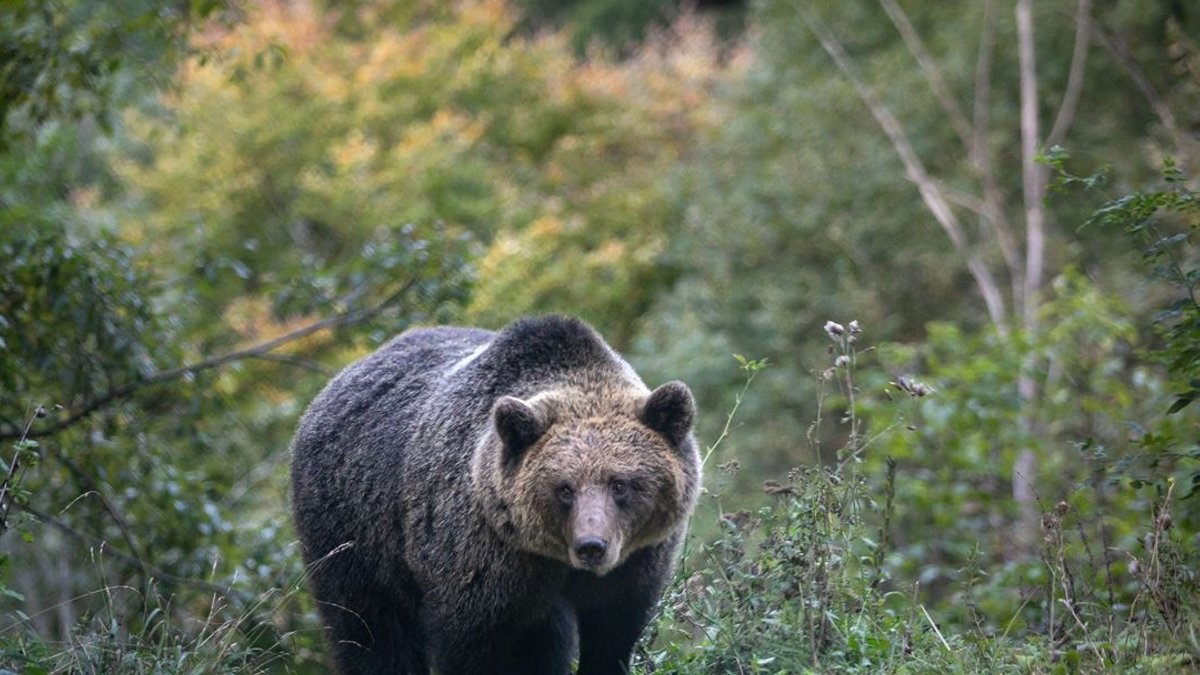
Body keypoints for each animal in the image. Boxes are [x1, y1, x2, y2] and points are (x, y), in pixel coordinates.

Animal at [290, 315, 700, 675]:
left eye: (620, 483)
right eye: (564, 488)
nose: (591, 546)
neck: (550, 556)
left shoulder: (634, 568)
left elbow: (611, 636)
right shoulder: (478, 564)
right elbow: (471, 644)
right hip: (352, 532)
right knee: (368, 629)